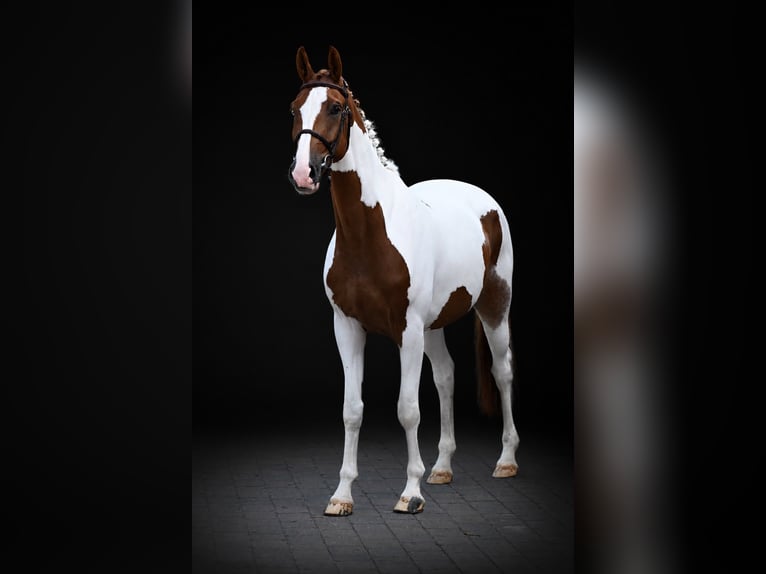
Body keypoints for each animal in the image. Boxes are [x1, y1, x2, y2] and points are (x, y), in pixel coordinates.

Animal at [287, 45, 520, 516]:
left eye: (335, 107)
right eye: (294, 109)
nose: (304, 173)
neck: (370, 234)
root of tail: (482, 199)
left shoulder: (407, 330)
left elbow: (408, 408)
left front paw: (410, 494)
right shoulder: (347, 327)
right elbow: (352, 409)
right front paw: (342, 495)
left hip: (493, 306)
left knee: (502, 370)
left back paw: (505, 461)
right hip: (433, 326)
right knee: (446, 376)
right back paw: (443, 468)